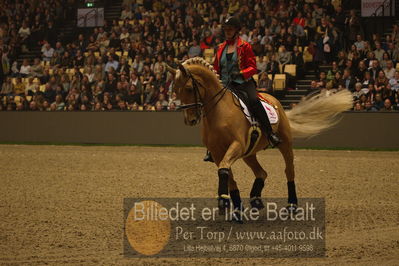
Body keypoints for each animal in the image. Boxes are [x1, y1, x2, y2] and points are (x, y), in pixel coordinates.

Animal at [166, 57, 354, 221]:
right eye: (175, 90)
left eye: (189, 88)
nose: (189, 120)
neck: (219, 112)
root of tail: (274, 99)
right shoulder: (218, 152)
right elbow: (227, 174)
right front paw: (235, 208)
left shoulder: (236, 145)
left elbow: (224, 170)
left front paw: (224, 201)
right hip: (249, 154)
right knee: (261, 172)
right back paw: (255, 199)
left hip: (285, 144)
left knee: (289, 171)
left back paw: (292, 205)